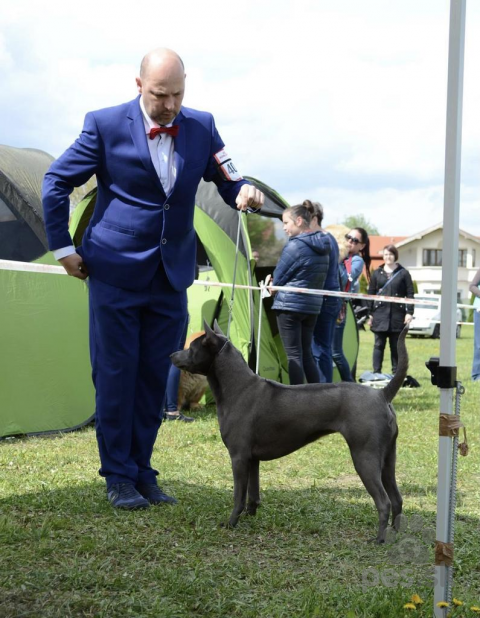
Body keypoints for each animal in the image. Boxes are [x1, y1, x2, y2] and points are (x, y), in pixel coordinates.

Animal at [171, 320, 406, 540]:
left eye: (191, 347)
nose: (172, 354)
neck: (238, 386)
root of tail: (382, 394)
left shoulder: (238, 458)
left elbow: (238, 495)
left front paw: (231, 523)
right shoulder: (252, 459)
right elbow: (253, 494)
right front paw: (249, 516)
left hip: (364, 457)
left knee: (384, 502)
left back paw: (379, 539)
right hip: (388, 458)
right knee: (396, 498)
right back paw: (395, 534)